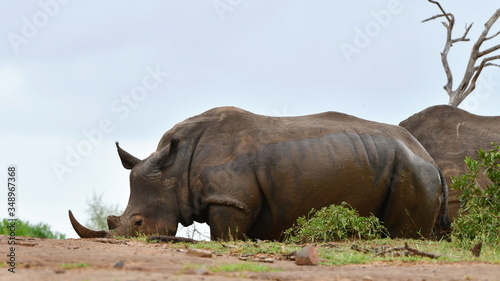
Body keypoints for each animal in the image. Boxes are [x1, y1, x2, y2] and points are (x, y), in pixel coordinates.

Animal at [69, 106, 450, 240]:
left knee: (404, 231)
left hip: (413, 170)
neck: (174, 166)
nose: (119, 239)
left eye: (137, 224)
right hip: (400, 163)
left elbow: (225, 236)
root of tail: (429, 156)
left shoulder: (230, 200)